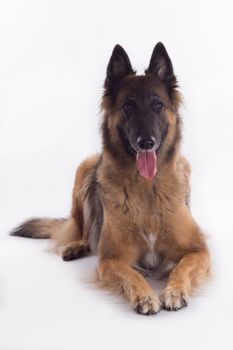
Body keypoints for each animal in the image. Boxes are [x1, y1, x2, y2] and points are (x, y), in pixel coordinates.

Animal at [11, 43, 211, 314]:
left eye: (157, 105)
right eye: (128, 106)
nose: (146, 142)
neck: (147, 189)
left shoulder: (199, 251)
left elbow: (182, 268)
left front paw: (174, 291)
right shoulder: (111, 260)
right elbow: (131, 275)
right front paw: (145, 296)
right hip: (84, 169)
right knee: (82, 230)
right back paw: (75, 246)